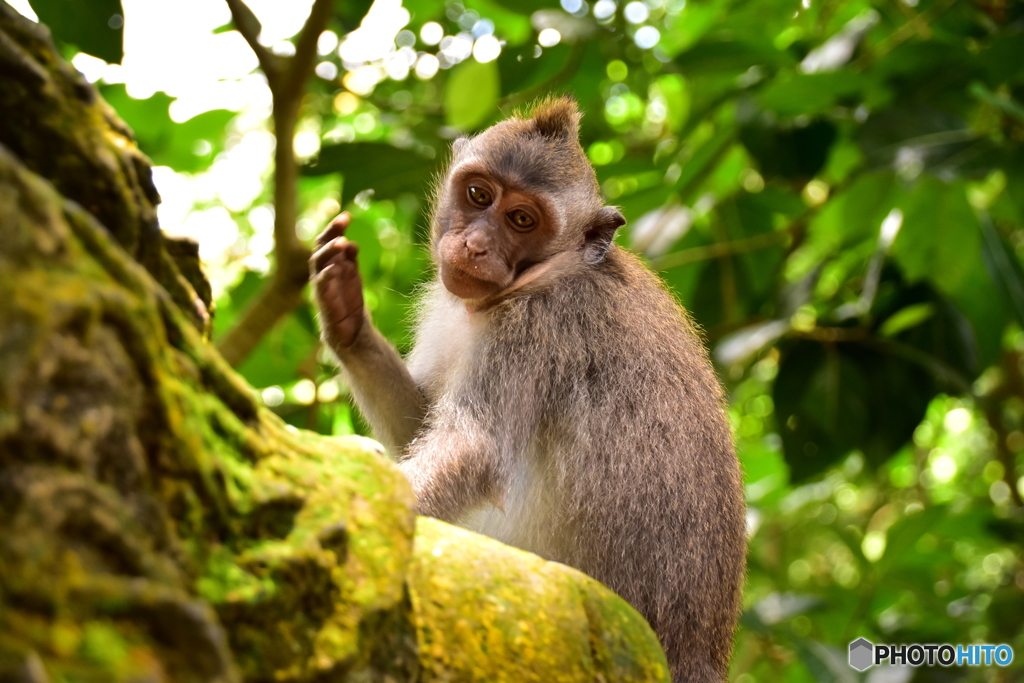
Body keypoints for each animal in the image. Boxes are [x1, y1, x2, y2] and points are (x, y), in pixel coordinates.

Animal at [309, 96, 745, 683]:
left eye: (522, 219)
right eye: (478, 195)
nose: (473, 245)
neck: (543, 275)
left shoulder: (538, 327)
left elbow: (472, 449)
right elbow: (418, 426)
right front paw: (346, 315)